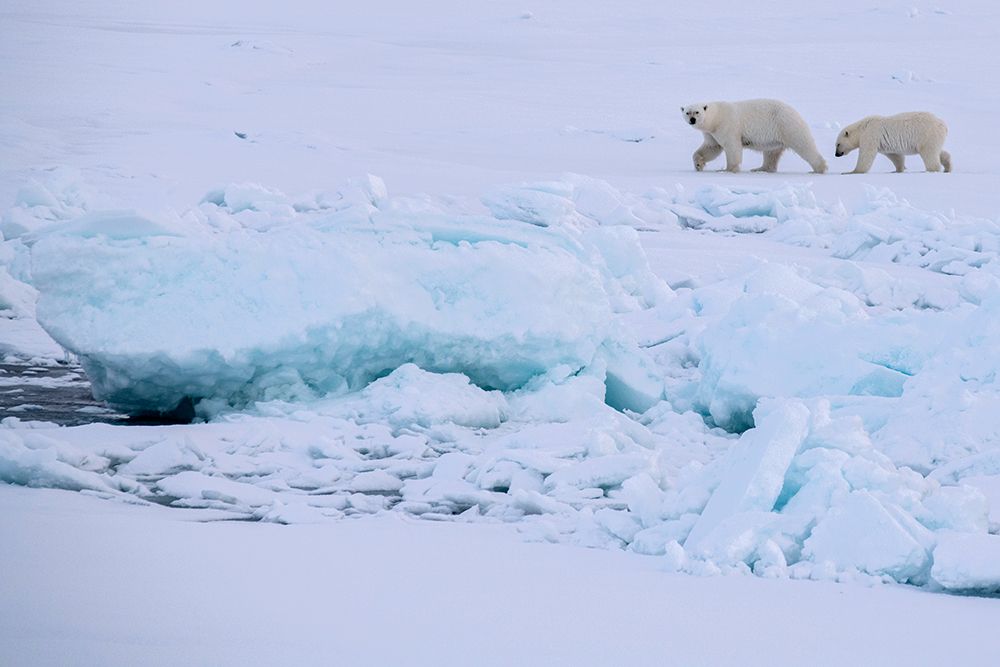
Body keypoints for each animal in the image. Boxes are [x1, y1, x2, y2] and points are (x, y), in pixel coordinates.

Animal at [680, 98, 828, 174]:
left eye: (697, 112)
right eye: (687, 112)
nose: (692, 120)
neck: (716, 117)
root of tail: (796, 112)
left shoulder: (728, 125)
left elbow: (732, 147)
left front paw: (728, 170)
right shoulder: (711, 133)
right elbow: (711, 148)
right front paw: (698, 164)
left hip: (788, 126)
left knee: (804, 145)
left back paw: (819, 169)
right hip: (775, 136)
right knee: (771, 153)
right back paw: (760, 168)